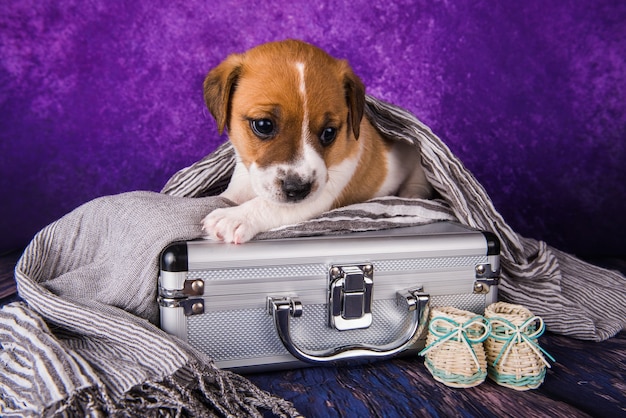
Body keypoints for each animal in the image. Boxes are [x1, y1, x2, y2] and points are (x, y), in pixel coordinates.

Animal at [200, 40, 428, 243]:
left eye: (329, 132)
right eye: (263, 125)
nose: (298, 189)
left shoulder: (320, 196)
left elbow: (271, 206)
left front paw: (235, 218)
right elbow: (234, 193)